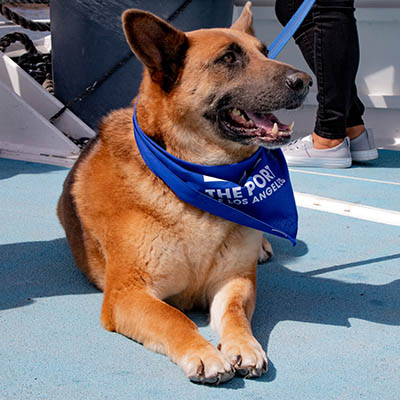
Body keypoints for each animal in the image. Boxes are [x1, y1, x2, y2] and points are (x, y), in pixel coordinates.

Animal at [57, 2, 312, 384]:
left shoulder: (234, 281)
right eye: (228, 58)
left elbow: (235, 314)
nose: (305, 81)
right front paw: (202, 352)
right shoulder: (127, 294)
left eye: (265, 52)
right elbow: (173, 317)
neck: (204, 182)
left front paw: (244, 344)